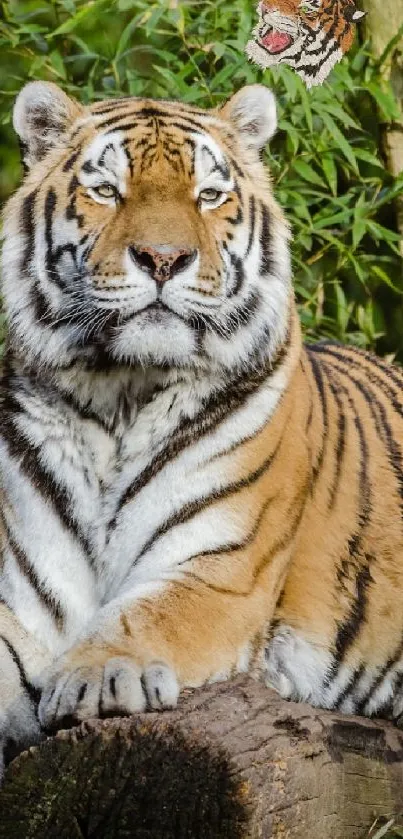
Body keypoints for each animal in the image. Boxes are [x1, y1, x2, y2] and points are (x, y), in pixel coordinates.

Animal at [0, 79, 403, 776]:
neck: (120, 395)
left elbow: (146, 616)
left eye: (208, 195)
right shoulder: (29, 595)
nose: (164, 259)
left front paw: (96, 678)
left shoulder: (219, 572)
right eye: (106, 190)